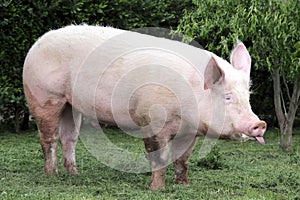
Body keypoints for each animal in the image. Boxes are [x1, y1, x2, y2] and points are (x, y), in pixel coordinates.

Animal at [24, 25, 268, 189]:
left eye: (247, 96)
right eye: (227, 97)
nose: (260, 123)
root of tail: (37, 43)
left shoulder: (189, 131)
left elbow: (182, 159)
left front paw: (183, 185)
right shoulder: (152, 119)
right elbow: (159, 156)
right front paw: (157, 189)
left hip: (70, 103)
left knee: (70, 137)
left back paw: (73, 174)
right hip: (44, 95)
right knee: (48, 138)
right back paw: (52, 175)